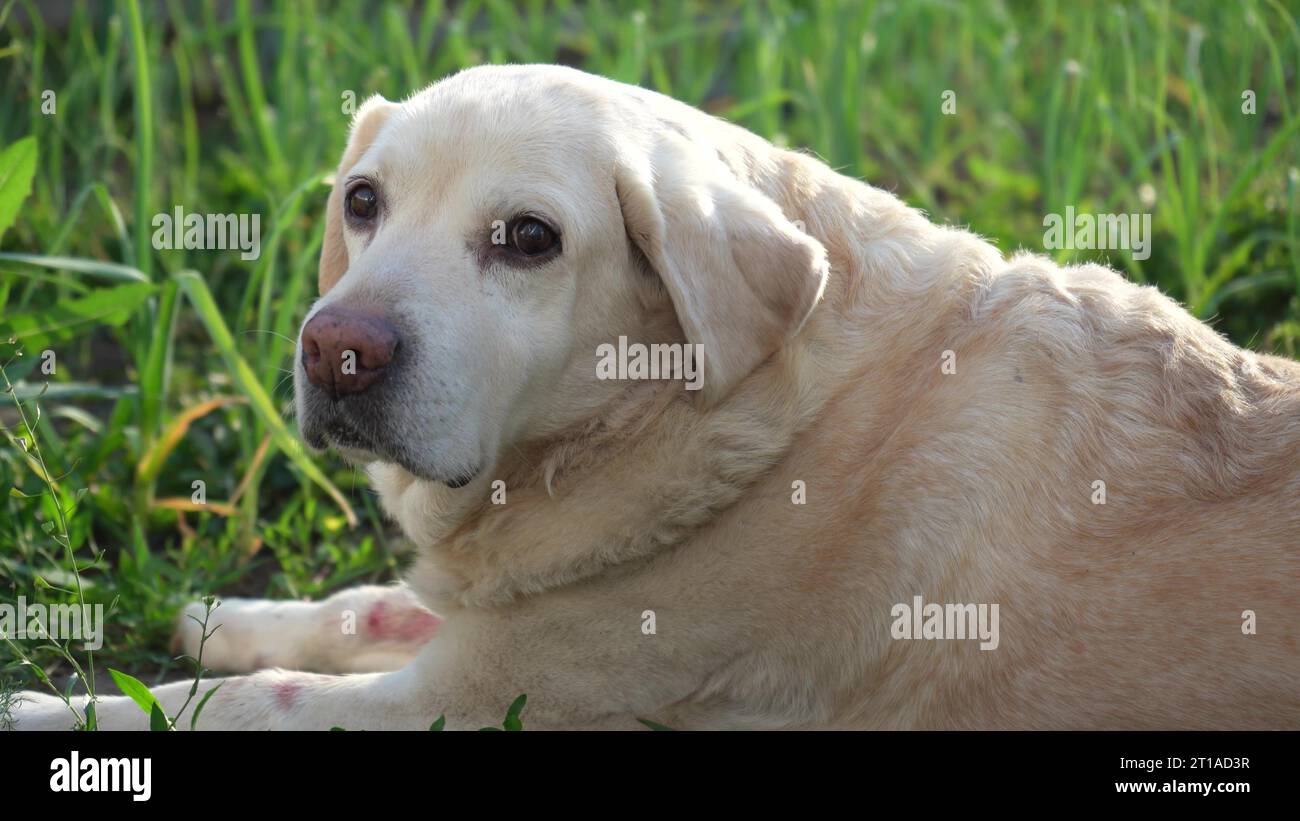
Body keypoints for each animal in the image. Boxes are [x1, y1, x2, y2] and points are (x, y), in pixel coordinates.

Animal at [12, 65, 1300, 732]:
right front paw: (227, 613)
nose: (335, 350)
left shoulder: (479, 699)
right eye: (363, 201)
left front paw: (56, 715)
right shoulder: (504, 615)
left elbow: (246, 701)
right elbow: (362, 606)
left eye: (528, 239)